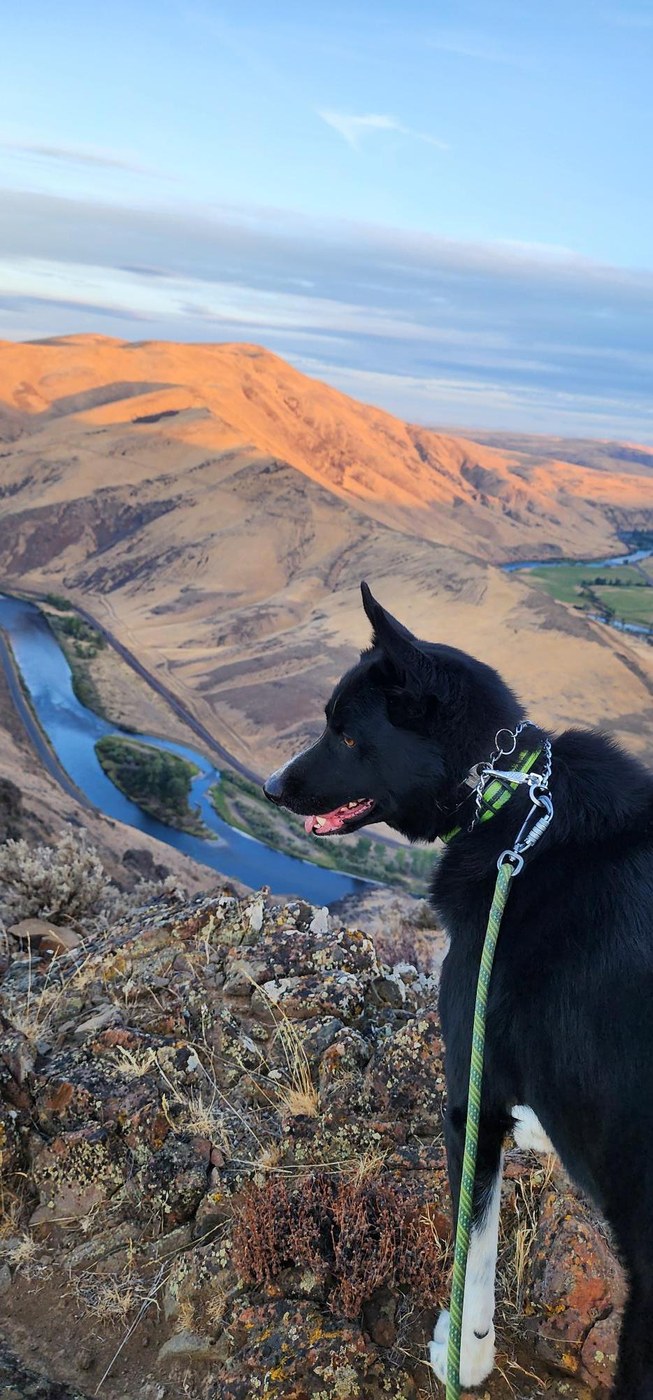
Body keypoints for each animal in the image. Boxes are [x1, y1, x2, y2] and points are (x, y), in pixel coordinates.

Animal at [264, 581, 653, 1398]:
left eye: (346, 735)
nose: (270, 786)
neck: (508, 804)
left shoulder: (468, 1100)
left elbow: (471, 1257)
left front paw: (463, 1355)